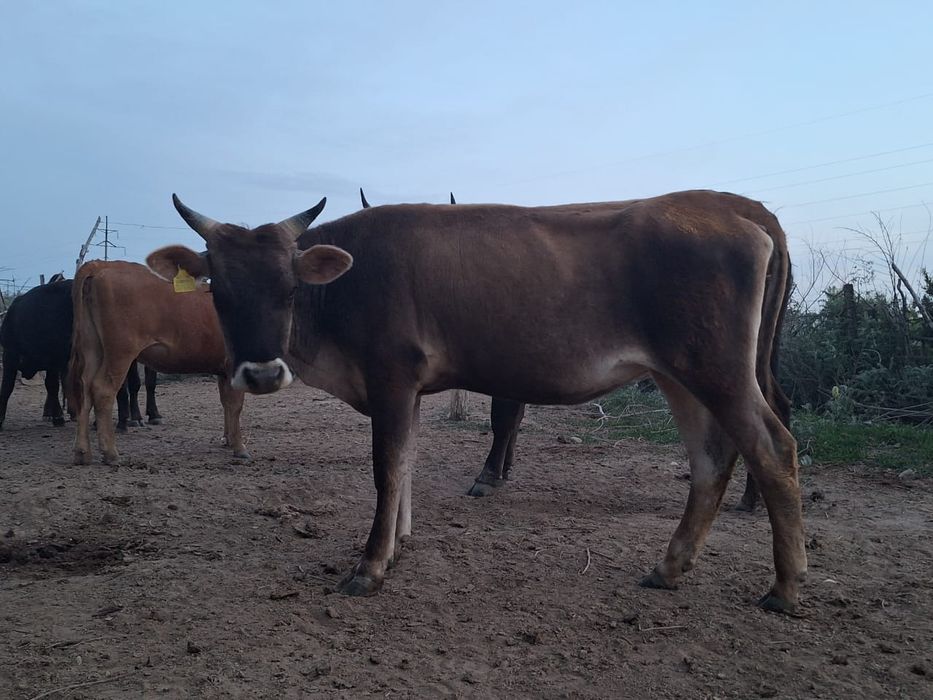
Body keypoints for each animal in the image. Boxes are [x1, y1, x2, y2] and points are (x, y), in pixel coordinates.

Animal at [69, 260, 247, 465]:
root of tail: (102, 265)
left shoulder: (222, 370)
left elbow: (226, 403)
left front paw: (228, 439)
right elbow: (236, 405)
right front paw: (239, 447)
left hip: (92, 348)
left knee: (84, 391)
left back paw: (82, 452)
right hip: (120, 352)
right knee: (102, 390)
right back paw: (110, 453)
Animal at [360, 189, 771, 510]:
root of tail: (746, 208)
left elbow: (504, 419)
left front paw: (491, 475)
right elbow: (512, 420)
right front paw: (505, 468)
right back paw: (751, 498)